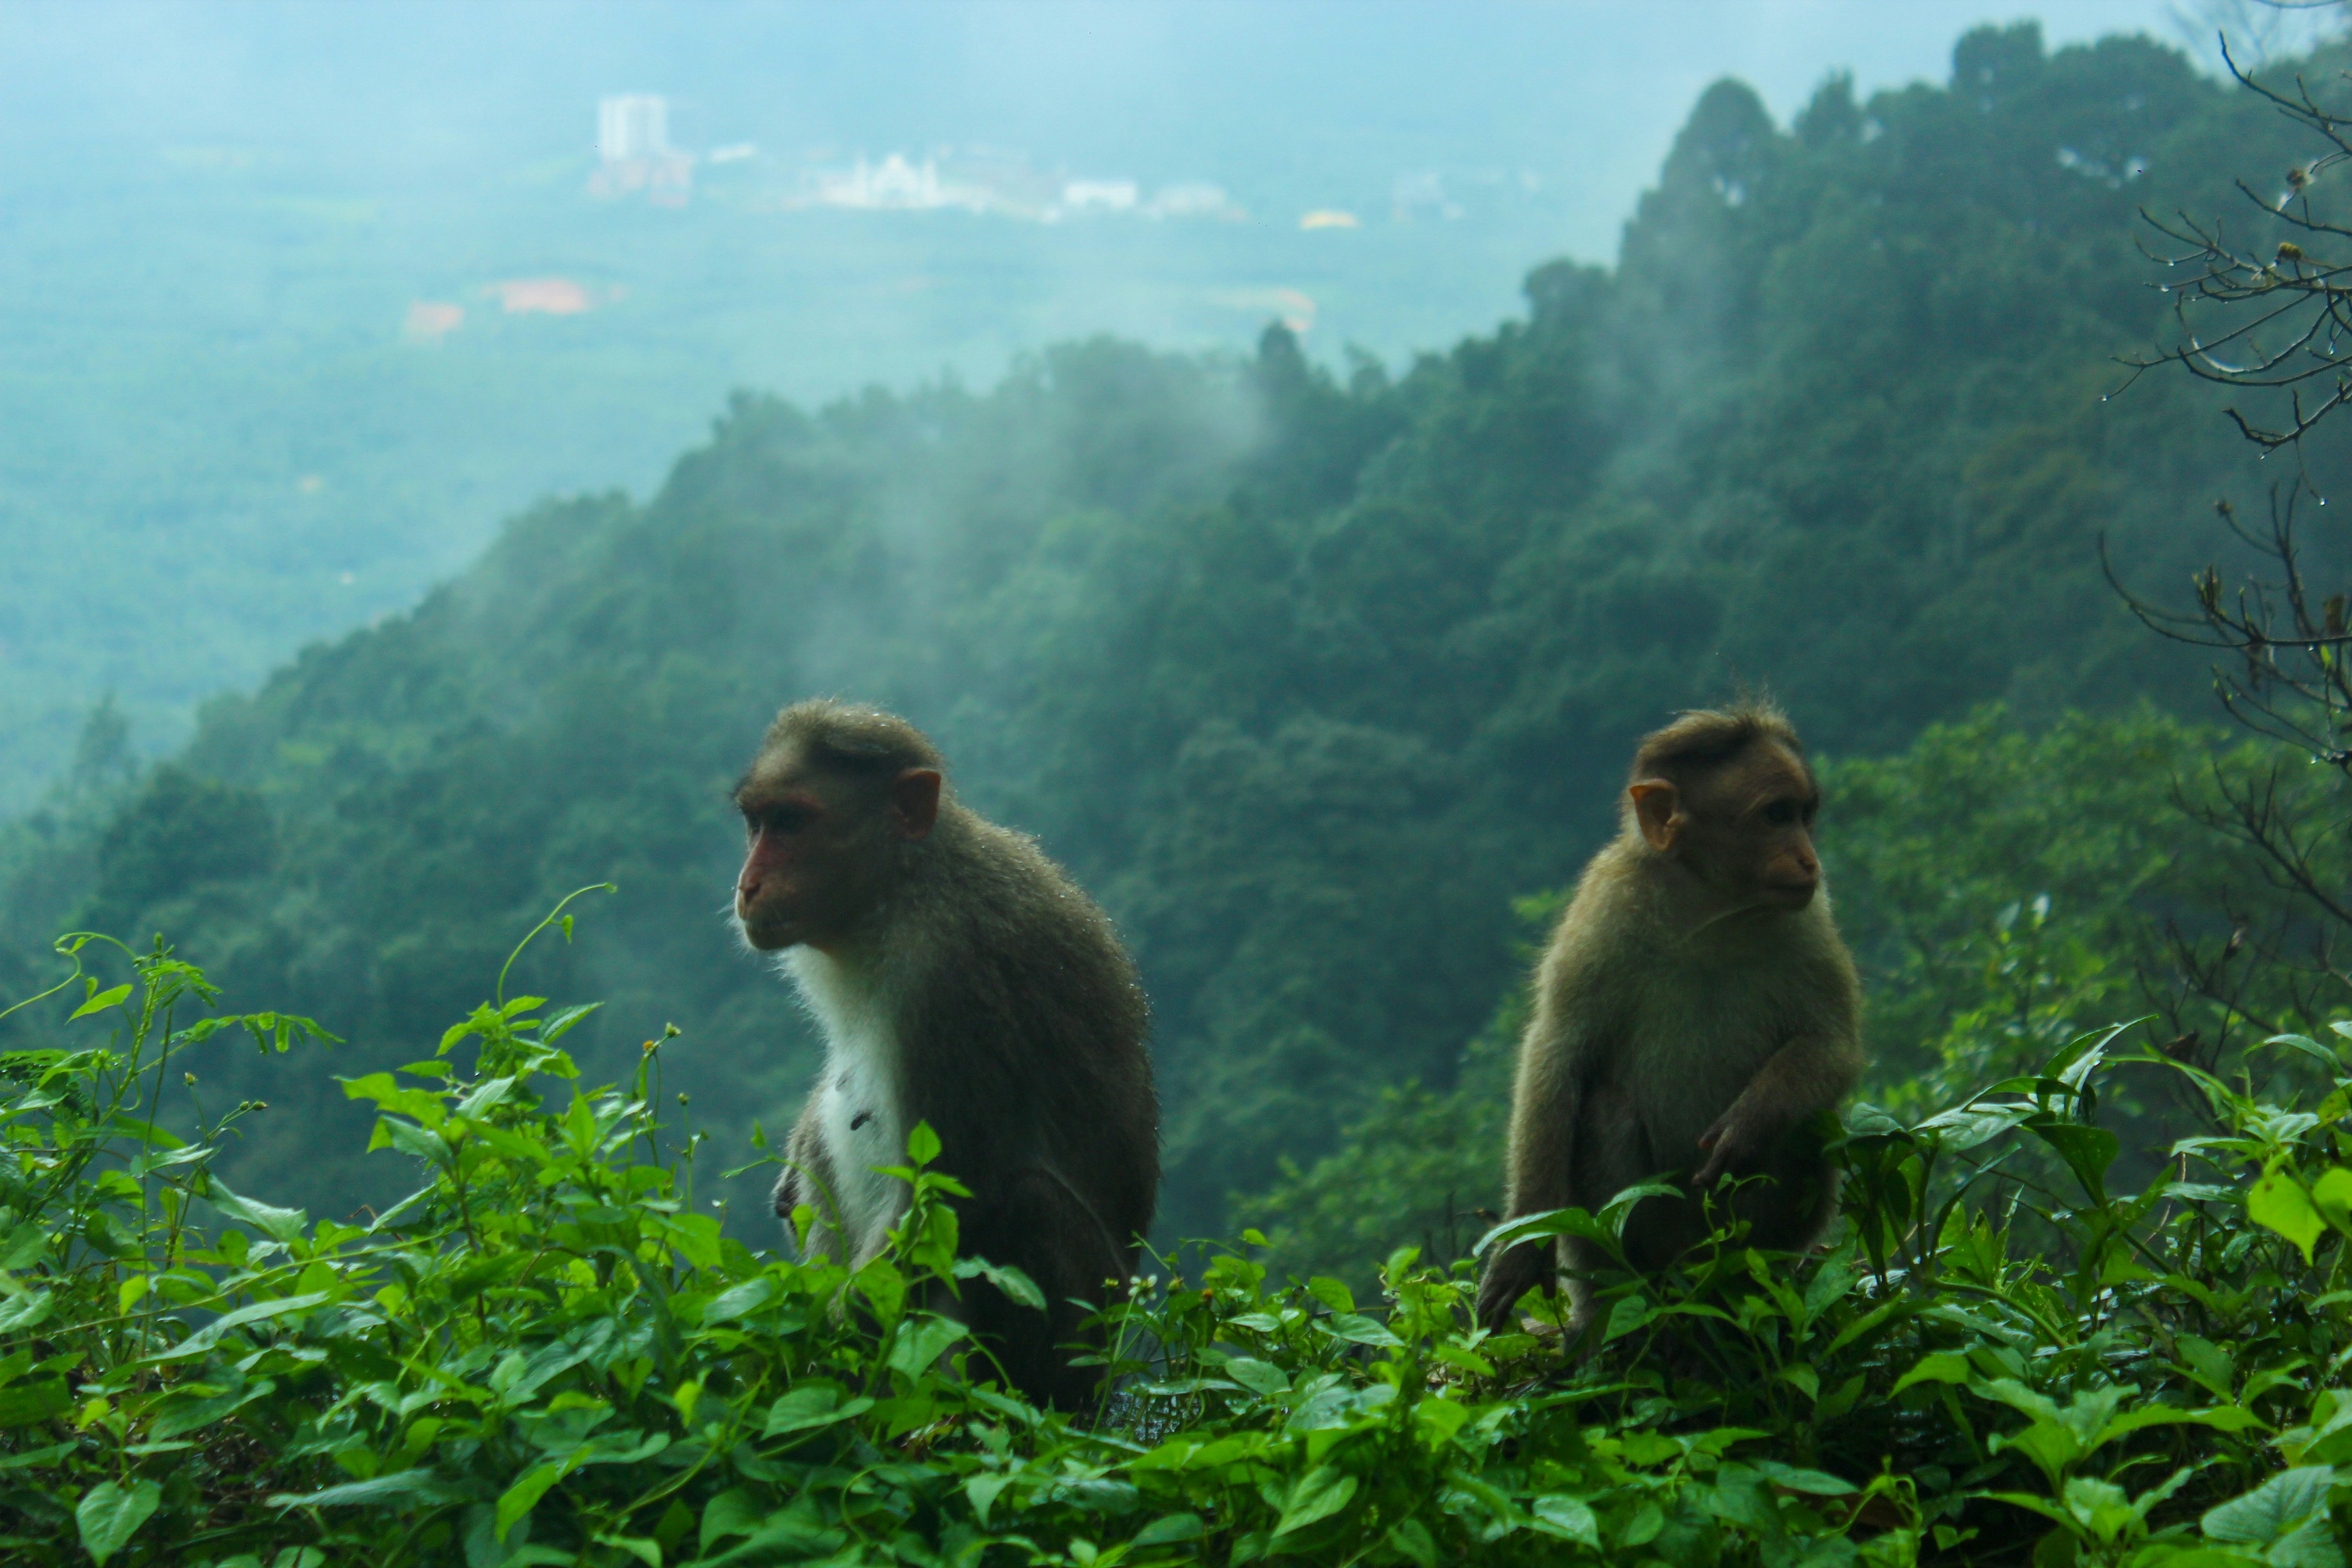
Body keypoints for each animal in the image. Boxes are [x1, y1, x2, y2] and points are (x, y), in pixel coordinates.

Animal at [731, 699, 1157, 1407]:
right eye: (756, 823)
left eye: (791, 822)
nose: (747, 884)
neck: (905, 889)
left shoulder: (953, 978)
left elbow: (952, 1190)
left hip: (1084, 1345)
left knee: (1025, 1203)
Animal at [1475, 699, 1863, 1336]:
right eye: (1776, 816)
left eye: (1803, 815)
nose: (1810, 859)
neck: (1709, 910)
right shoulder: (1601, 913)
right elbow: (1556, 1058)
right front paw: (1522, 1252)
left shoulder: (1811, 916)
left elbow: (1832, 1046)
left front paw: (1750, 1122)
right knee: (1604, 1107)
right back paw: (1612, 1304)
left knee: (1802, 1124)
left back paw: (1749, 1281)